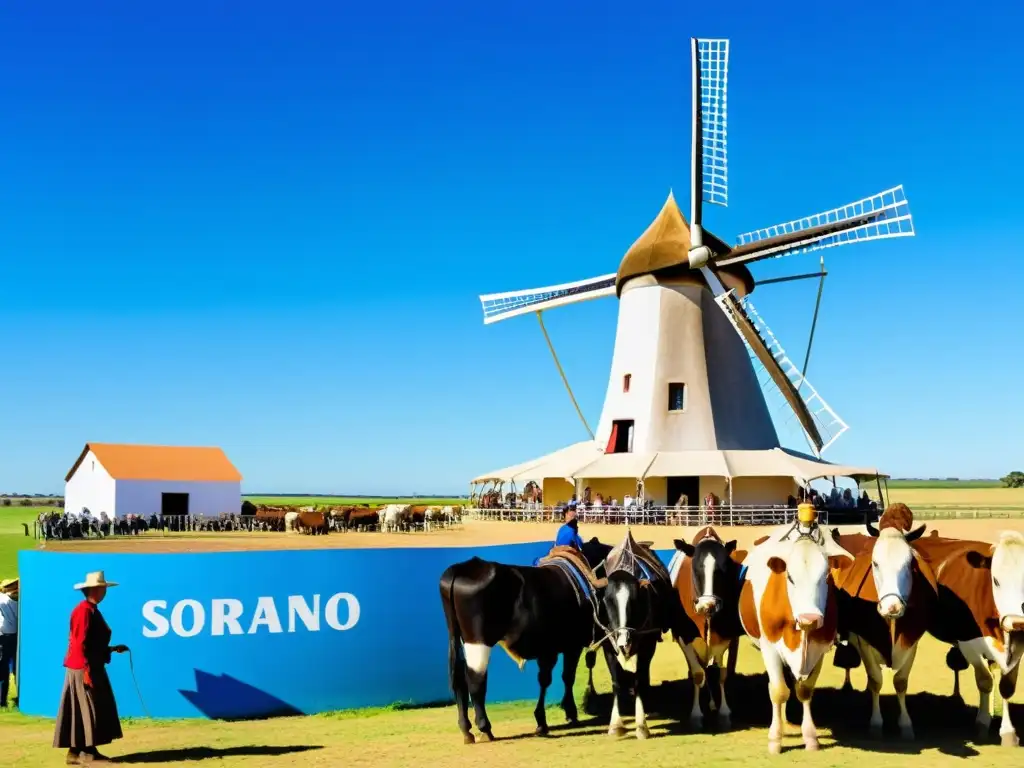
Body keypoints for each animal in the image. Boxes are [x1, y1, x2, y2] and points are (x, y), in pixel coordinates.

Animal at [438, 536, 606, 745]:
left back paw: (466, 730)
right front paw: (569, 713)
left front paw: (542, 720)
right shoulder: (572, 645)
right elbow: (566, 677)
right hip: (478, 641)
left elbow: (544, 679)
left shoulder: (548, 650)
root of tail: (461, 569)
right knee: (476, 681)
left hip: (457, 638)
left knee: (459, 680)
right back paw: (485, 728)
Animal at [737, 520, 856, 753]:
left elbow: (805, 690)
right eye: (790, 578)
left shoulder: (819, 649)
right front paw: (775, 739)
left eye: (826, 577)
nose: (810, 618)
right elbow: (778, 691)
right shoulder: (770, 648)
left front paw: (810, 737)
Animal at [831, 524, 937, 741]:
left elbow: (900, 682)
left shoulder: (911, 644)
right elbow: (876, 680)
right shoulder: (864, 643)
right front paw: (876, 723)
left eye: (910, 563)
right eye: (875, 563)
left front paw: (905, 724)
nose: (892, 607)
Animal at [917, 528, 1024, 745]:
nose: (1017, 621)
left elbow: (1006, 686)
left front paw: (1008, 732)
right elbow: (984, 681)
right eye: (996, 580)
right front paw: (982, 724)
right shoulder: (968, 643)